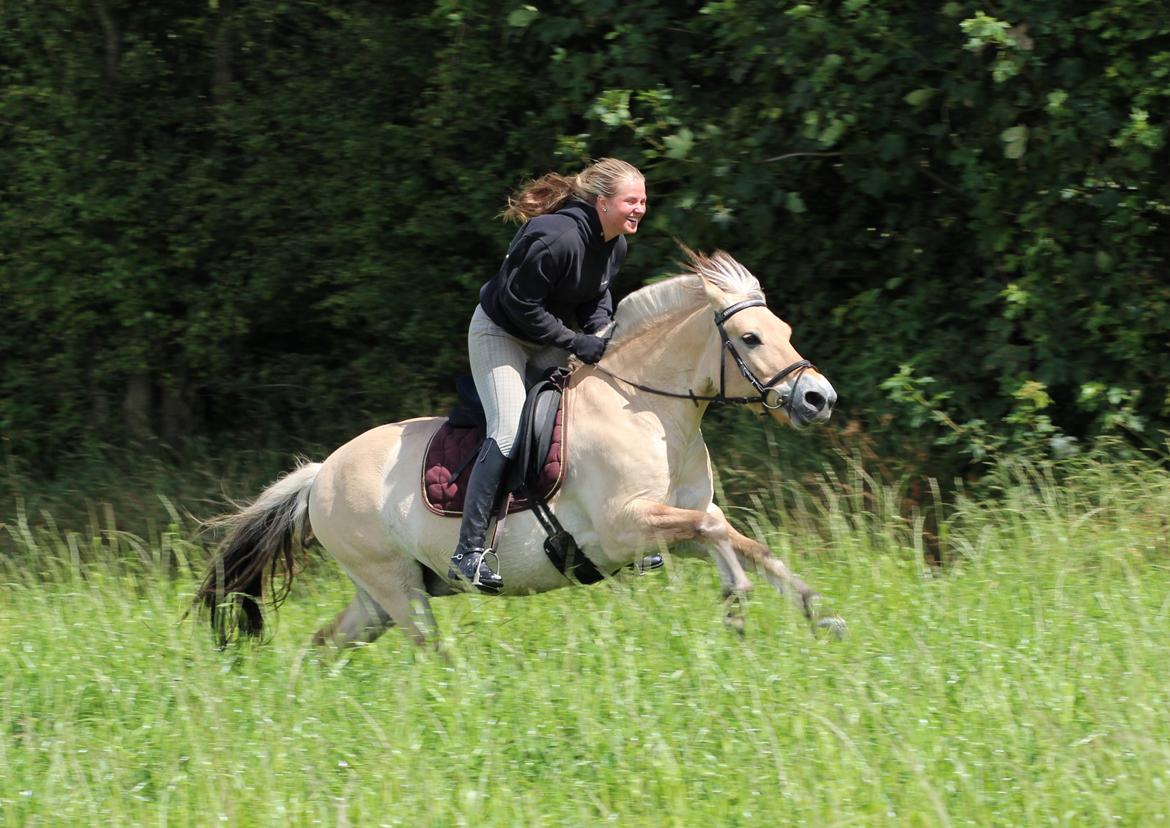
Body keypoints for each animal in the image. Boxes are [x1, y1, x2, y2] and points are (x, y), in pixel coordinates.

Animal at [194, 249, 842, 650]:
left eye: (784, 330)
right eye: (750, 337)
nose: (818, 398)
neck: (646, 407)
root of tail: (320, 474)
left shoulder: (673, 521)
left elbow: (740, 540)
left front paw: (819, 612)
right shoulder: (624, 528)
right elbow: (717, 537)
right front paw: (737, 596)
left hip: (376, 596)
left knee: (322, 644)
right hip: (395, 588)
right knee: (428, 649)